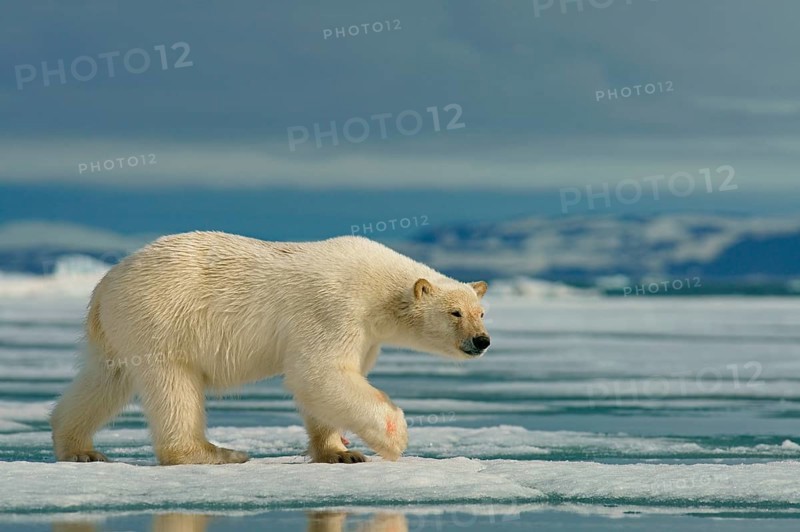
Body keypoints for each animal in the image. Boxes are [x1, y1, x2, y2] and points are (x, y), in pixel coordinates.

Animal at [50, 232, 490, 465]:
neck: (376, 287)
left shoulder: (366, 334)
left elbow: (330, 384)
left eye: (481, 311)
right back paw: (214, 453)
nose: (481, 341)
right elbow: (318, 372)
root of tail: (104, 284)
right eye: (455, 313)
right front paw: (394, 438)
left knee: (105, 380)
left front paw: (340, 452)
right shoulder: (335, 309)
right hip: (162, 318)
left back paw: (79, 448)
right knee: (173, 386)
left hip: (120, 332)